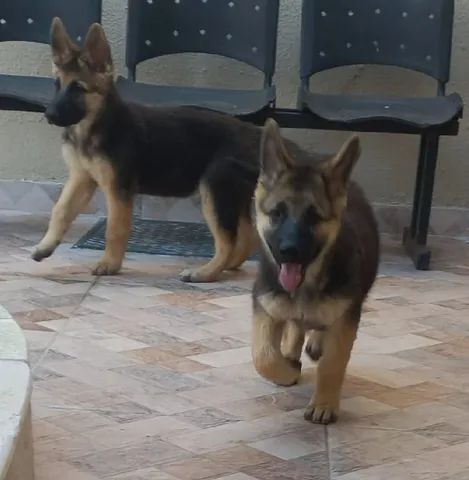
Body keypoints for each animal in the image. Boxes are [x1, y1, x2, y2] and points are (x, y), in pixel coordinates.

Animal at [31, 18, 262, 282]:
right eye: (57, 85)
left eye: (78, 88)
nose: (49, 115)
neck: (93, 125)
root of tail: (256, 133)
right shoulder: (82, 178)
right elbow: (61, 210)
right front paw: (45, 246)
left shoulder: (118, 190)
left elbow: (115, 228)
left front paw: (109, 264)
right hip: (233, 194)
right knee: (248, 236)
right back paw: (228, 266)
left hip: (215, 191)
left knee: (227, 241)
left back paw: (206, 272)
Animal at [250, 120, 378, 424]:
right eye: (277, 214)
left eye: (313, 217)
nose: (289, 250)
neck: (306, 287)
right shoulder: (266, 308)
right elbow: (263, 355)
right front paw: (286, 369)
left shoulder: (345, 318)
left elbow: (333, 363)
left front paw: (324, 403)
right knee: (296, 326)